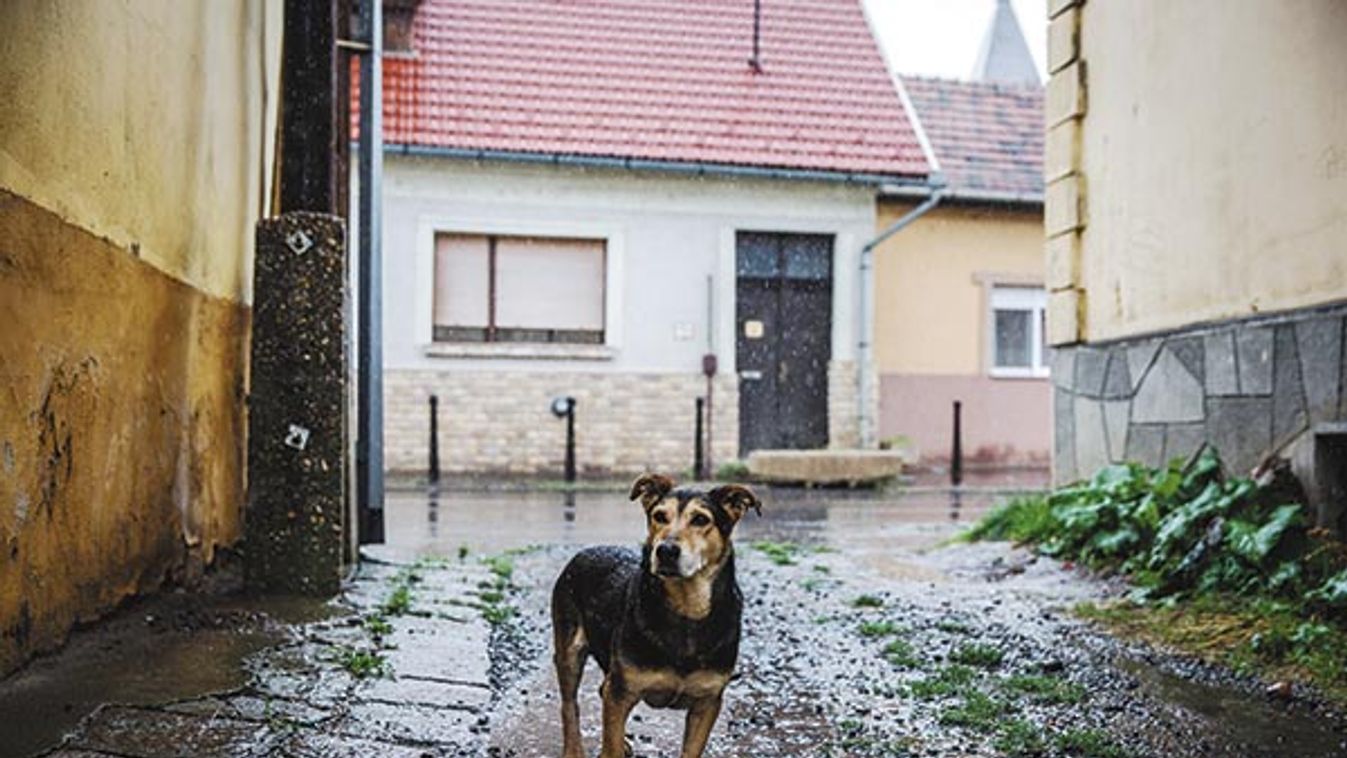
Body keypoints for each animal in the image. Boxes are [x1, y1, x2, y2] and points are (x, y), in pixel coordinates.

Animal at [546, 473, 759, 758]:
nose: (666, 550)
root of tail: (584, 551)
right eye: (659, 516)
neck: (686, 608)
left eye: (701, 519)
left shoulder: (708, 702)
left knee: (601, 690)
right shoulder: (621, 691)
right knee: (570, 704)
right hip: (569, 650)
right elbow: (610, 744)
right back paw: (574, 749)